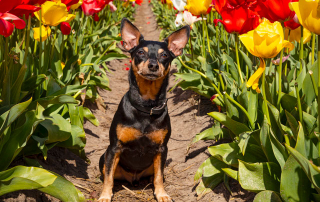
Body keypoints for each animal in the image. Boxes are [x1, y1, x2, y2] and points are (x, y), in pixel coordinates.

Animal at [98, 18, 190, 201]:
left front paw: (161, 194)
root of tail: (133, 178)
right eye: (141, 52)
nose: (153, 65)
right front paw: (105, 195)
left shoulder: (162, 149)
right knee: (108, 172)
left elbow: (159, 176)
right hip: (103, 157)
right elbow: (109, 176)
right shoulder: (114, 148)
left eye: (164, 55)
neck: (146, 107)